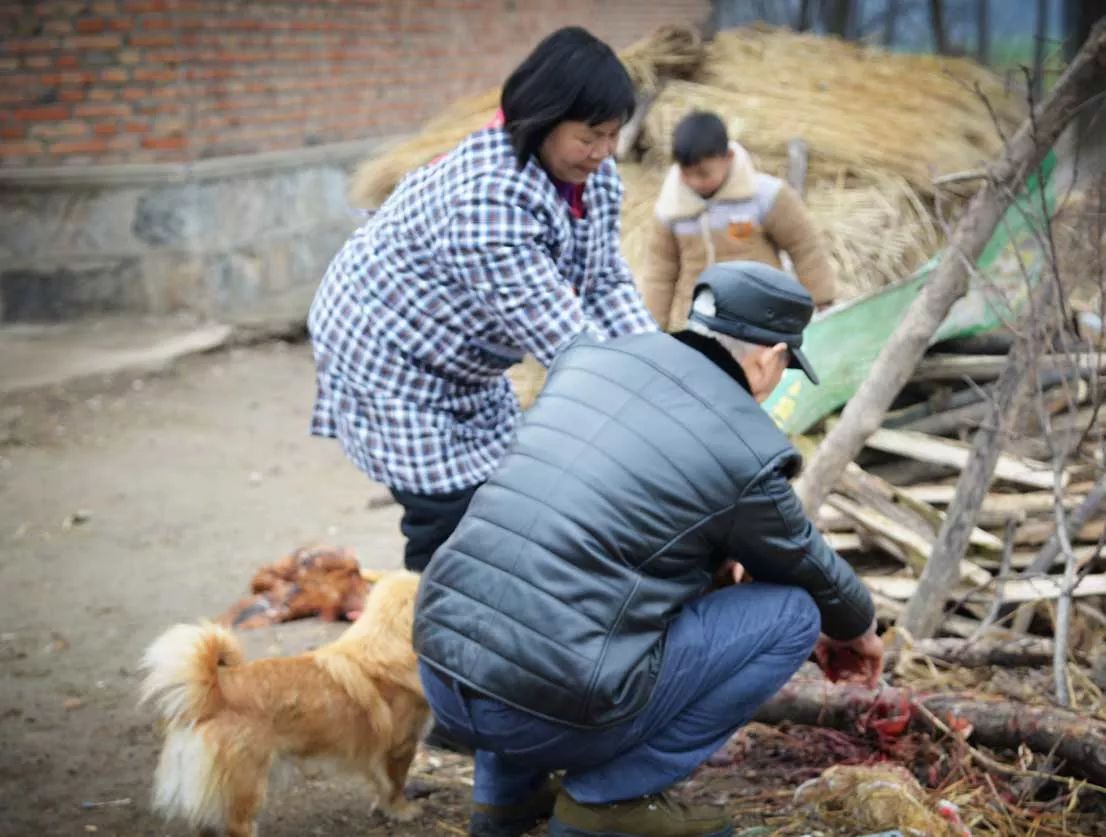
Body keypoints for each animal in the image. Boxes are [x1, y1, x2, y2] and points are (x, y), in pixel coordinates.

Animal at [137, 566, 426, 835]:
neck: (386, 645)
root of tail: (215, 692)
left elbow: (380, 784)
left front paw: (383, 808)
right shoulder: (401, 747)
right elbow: (395, 785)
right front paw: (402, 811)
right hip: (249, 786)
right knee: (238, 826)